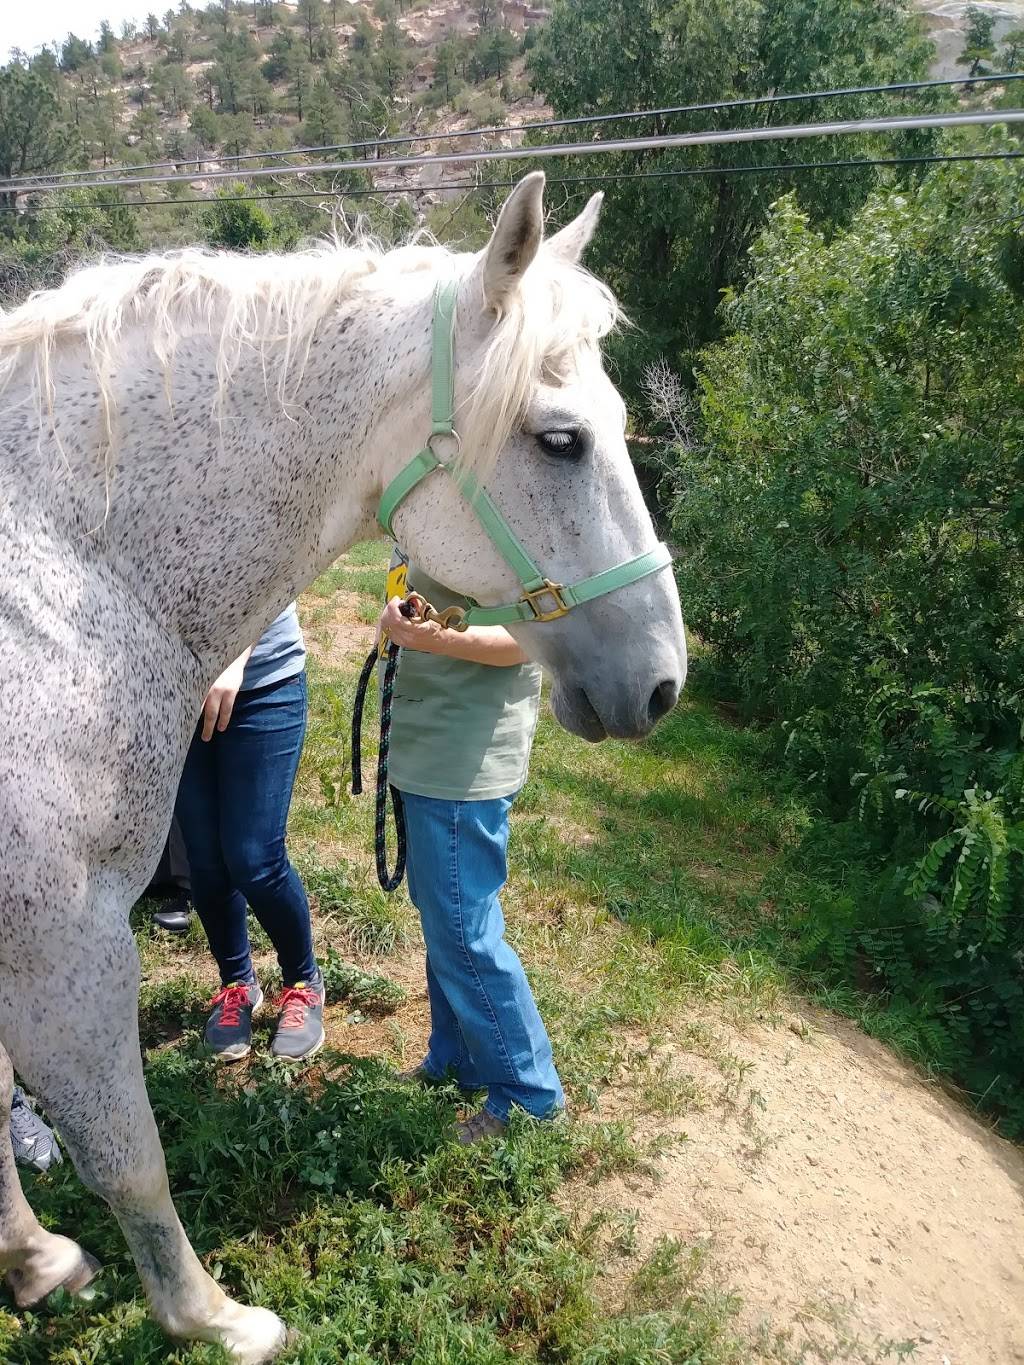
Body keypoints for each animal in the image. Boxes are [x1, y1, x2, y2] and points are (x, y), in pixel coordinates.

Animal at [0, 176, 690, 1359]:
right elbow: (129, 1155)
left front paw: (32, 1260)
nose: (661, 682)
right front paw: (212, 1319)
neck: (63, 581)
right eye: (560, 441)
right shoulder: (64, 939)